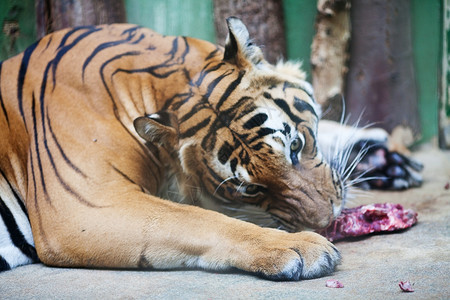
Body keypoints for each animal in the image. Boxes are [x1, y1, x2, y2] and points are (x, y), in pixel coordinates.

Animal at [0, 17, 422, 278]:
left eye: (296, 145)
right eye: (251, 188)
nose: (327, 221)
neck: (162, 84)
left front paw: (387, 158)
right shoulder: (83, 207)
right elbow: (202, 219)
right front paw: (301, 246)